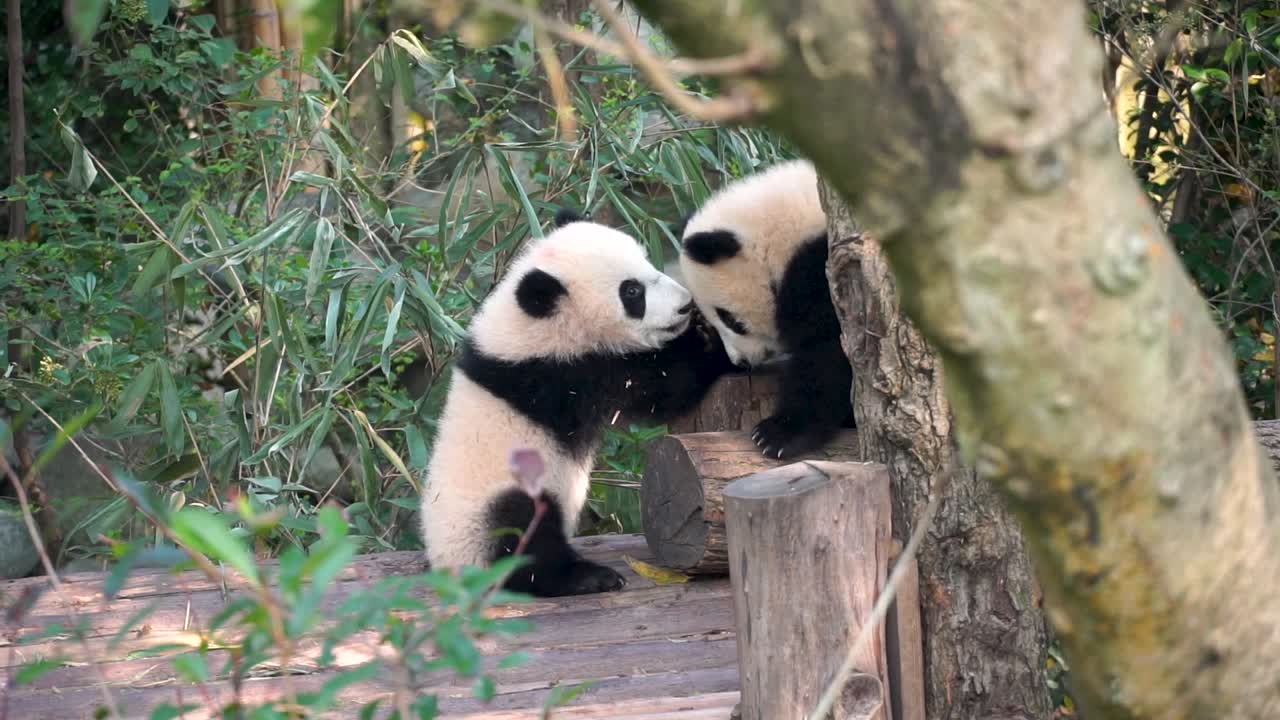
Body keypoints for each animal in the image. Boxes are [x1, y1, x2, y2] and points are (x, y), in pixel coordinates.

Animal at [420, 209, 734, 597]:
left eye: (646, 261)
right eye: (632, 292)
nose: (685, 305)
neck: (529, 326)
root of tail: (449, 571)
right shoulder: (559, 376)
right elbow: (664, 387)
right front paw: (712, 343)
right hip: (488, 509)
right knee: (522, 532)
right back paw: (585, 577)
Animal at [678, 159, 854, 460]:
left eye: (731, 319)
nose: (741, 362)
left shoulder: (825, 269)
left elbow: (828, 351)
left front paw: (779, 434)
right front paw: (704, 340)